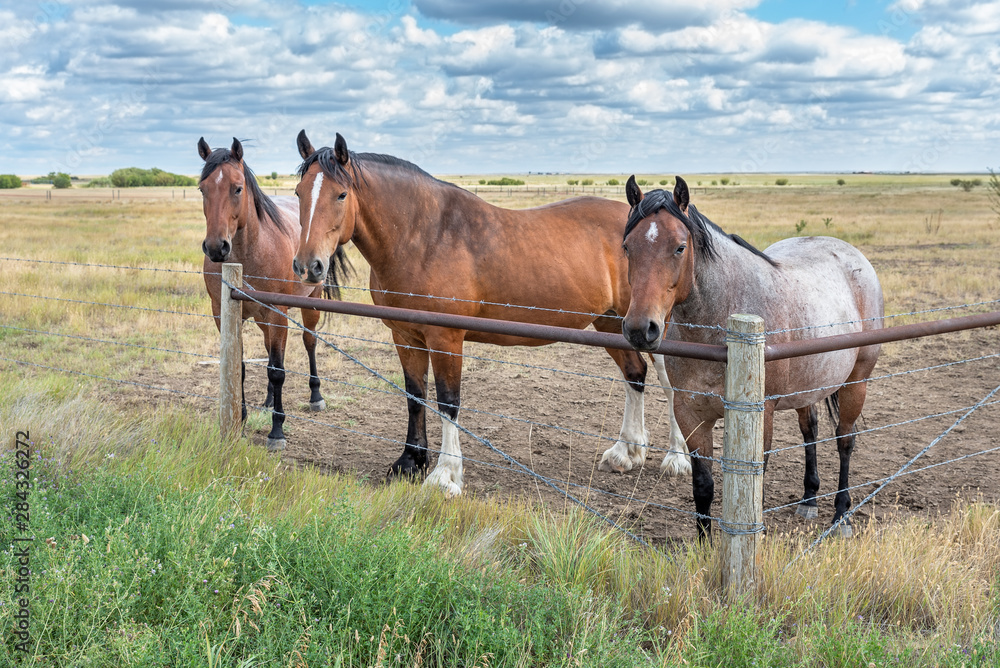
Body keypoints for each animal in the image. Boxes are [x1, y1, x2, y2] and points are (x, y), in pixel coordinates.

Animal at [197, 136, 350, 448]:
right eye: (202, 189)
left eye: (237, 188)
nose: (216, 247)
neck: (249, 255)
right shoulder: (224, 313)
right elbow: (241, 367)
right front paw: (241, 419)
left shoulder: (278, 313)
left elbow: (278, 370)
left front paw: (277, 431)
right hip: (262, 317)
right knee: (269, 349)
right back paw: (268, 400)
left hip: (308, 304)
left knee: (309, 341)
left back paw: (315, 396)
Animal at [290, 130, 688, 496]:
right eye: (298, 193)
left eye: (341, 194)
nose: (308, 266)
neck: (425, 236)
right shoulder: (405, 335)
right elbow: (414, 395)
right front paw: (410, 462)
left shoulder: (446, 338)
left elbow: (447, 402)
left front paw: (445, 476)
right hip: (612, 323)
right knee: (635, 374)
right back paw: (626, 452)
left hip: (652, 327)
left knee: (670, 385)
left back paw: (676, 458)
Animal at [620, 176, 888, 536]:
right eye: (627, 247)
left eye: (679, 247)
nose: (640, 329)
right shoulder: (690, 414)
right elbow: (703, 487)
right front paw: (704, 546)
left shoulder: (763, 415)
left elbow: (754, 488)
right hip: (808, 386)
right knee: (810, 431)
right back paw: (809, 500)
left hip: (857, 382)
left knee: (846, 440)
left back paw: (841, 515)